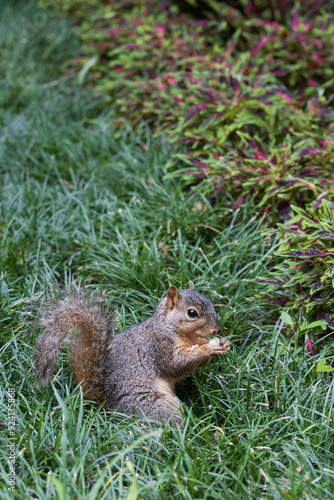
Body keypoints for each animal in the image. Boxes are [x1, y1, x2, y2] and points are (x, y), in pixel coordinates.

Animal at [33, 280, 230, 424]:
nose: (218, 330)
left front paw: (223, 343)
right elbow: (175, 365)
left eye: (211, 304)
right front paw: (208, 348)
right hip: (157, 405)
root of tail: (104, 404)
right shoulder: (159, 346)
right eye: (192, 313)